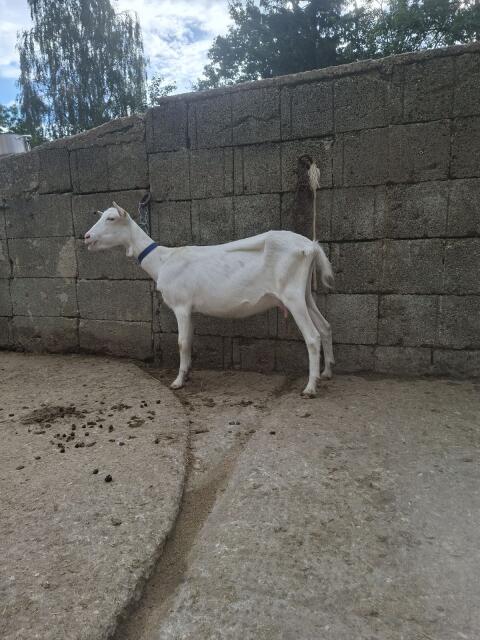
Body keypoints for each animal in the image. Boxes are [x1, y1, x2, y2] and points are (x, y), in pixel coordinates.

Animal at [84, 202, 334, 397]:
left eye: (111, 218)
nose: (87, 237)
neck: (163, 260)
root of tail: (310, 246)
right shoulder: (191, 309)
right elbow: (190, 340)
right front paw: (187, 373)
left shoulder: (181, 305)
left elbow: (181, 342)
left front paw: (177, 382)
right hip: (304, 294)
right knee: (325, 326)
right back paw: (327, 372)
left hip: (292, 295)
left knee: (312, 336)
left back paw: (310, 387)